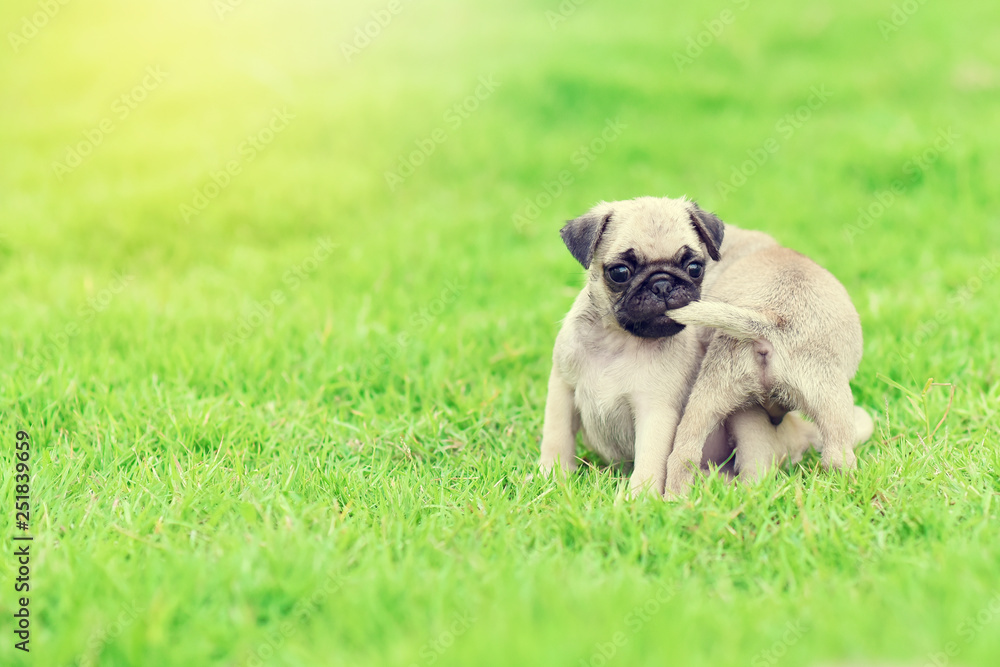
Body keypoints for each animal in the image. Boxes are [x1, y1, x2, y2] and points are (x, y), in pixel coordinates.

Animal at [536, 196, 816, 494]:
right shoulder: (562, 390)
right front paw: (552, 477)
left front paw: (639, 498)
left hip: (747, 419)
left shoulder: (655, 411)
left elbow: (648, 462)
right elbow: (557, 438)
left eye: (695, 268)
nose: (662, 284)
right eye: (620, 273)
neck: (618, 339)